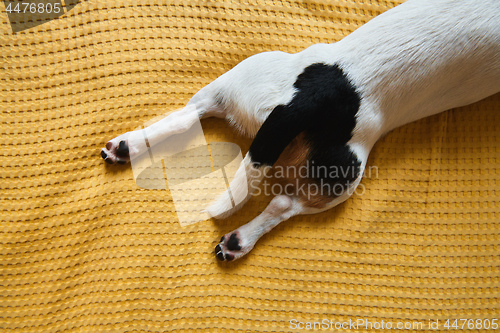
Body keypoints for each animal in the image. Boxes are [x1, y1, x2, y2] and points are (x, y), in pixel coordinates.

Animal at [101, 0, 500, 260]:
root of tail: (313, 97)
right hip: (345, 176)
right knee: (282, 204)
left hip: (242, 84)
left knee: (187, 119)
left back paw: (128, 148)